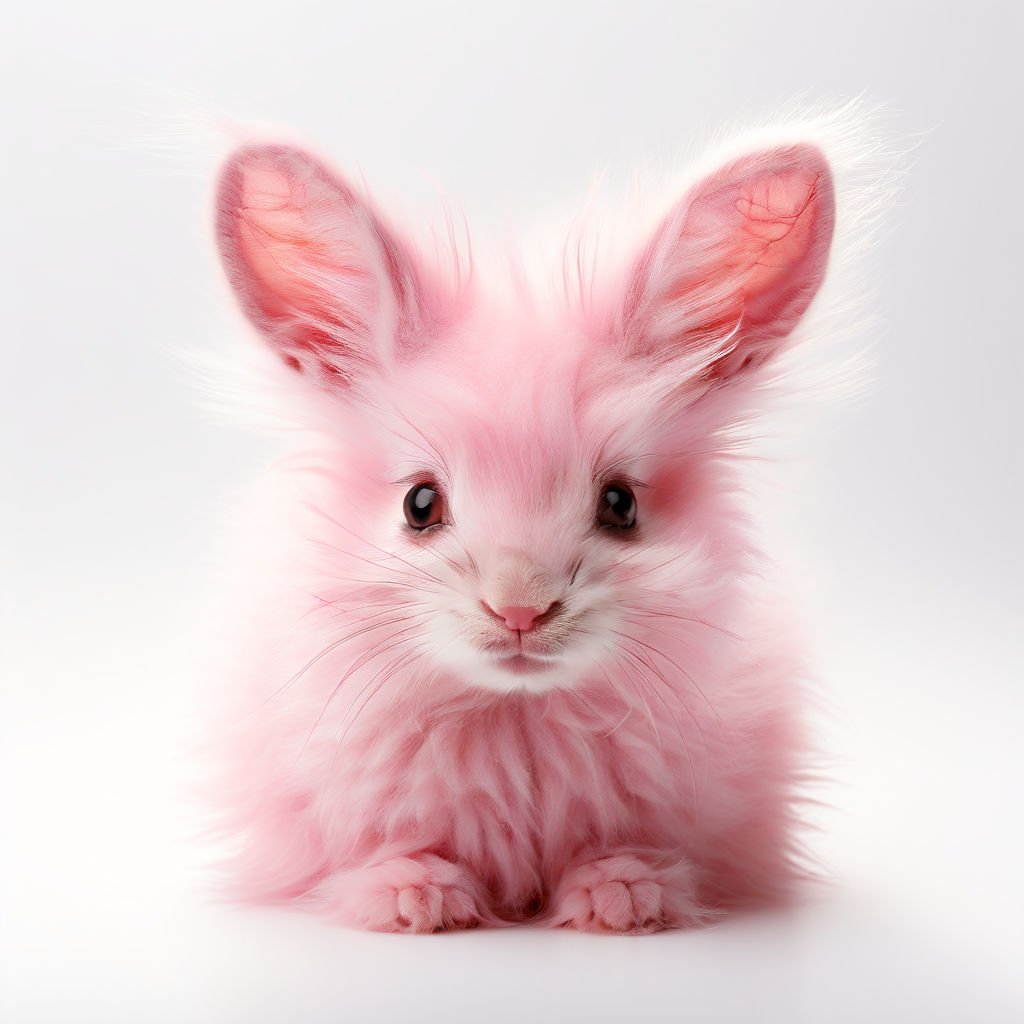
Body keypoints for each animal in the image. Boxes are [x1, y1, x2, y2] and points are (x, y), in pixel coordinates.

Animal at [205, 117, 839, 929]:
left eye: (621, 504)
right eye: (419, 504)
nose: (519, 611)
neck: (518, 714)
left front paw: (623, 899)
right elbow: (379, 855)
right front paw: (417, 899)